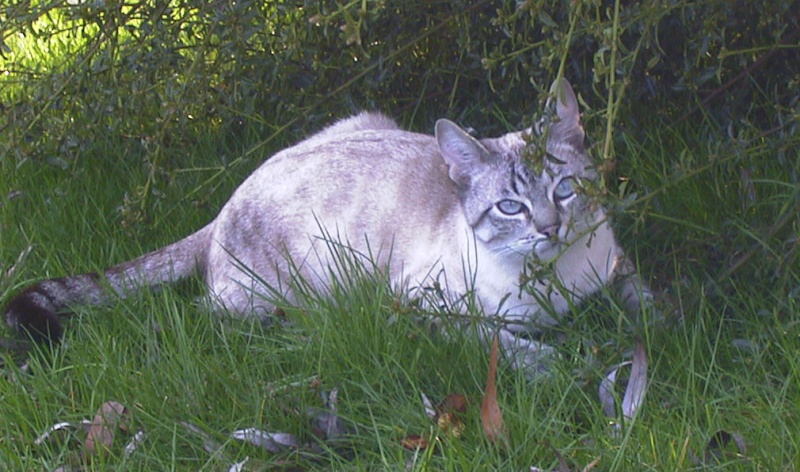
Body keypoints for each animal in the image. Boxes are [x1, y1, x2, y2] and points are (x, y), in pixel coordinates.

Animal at [4, 80, 648, 376]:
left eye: (564, 190)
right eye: (511, 207)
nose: (550, 228)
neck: (554, 285)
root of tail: (221, 208)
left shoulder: (615, 264)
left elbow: (644, 297)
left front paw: (655, 323)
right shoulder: (418, 307)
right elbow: (502, 342)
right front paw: (560, 366)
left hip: (366, 117)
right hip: (301, 291)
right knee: (227, 313)